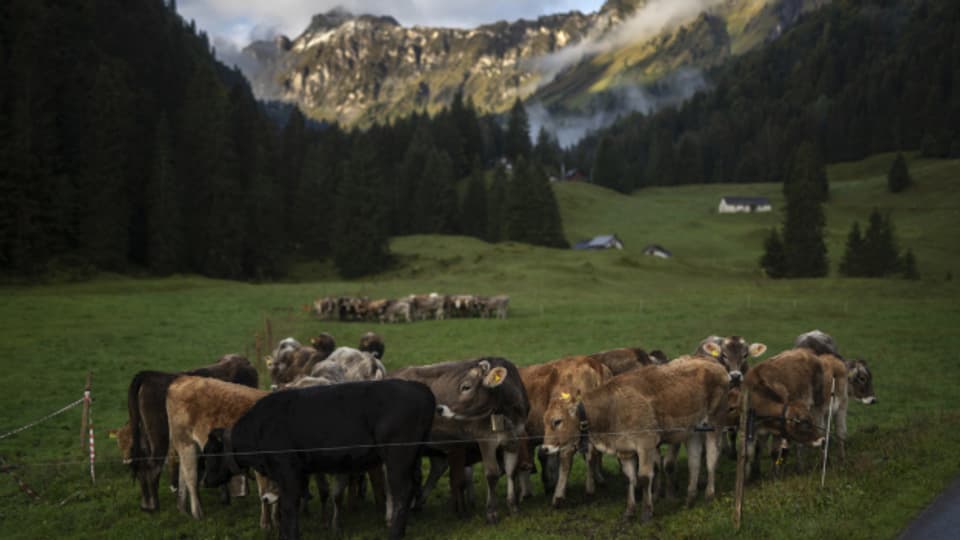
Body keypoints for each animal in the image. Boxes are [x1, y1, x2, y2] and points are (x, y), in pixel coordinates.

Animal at [202, 380, 436, 540]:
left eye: (210, 452)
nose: (205, 481)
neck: (260, 428)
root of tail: (419, 387)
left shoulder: (288, 472)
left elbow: (289, 508)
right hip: (411, 458)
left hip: (398, 457)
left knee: (401, 493)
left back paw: (395, 533)